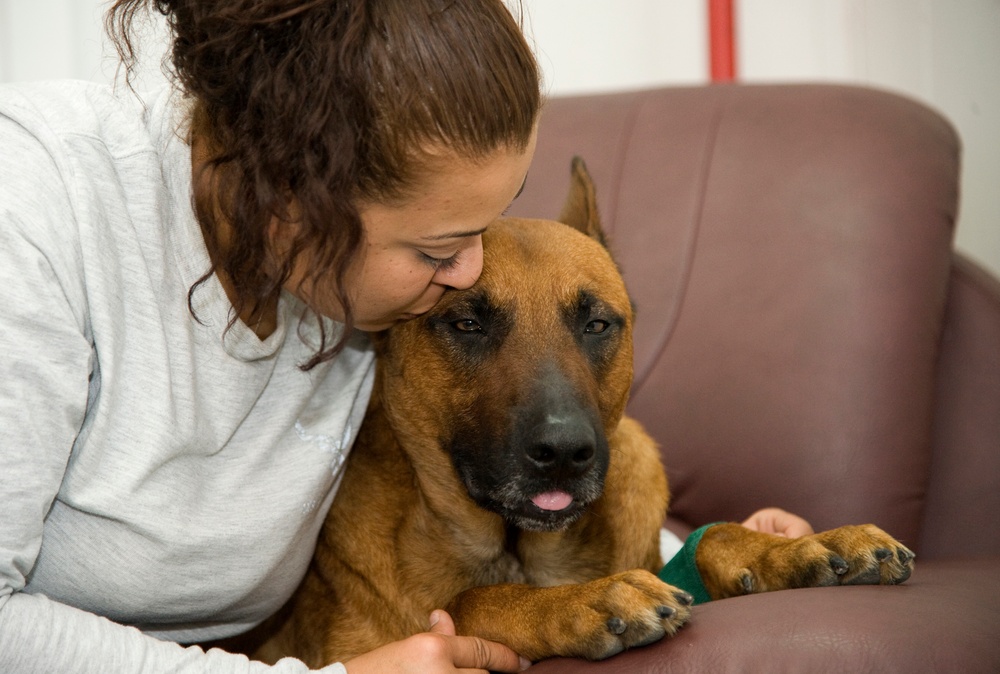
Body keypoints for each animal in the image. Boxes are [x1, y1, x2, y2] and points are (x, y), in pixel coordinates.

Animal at [248, 160, 916, 664]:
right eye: (466, 324)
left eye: (597, 324)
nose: (565, 453)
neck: (518, 550)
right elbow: (473, 600)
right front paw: (584, 602)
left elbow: (717, 534)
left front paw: (795, 549)